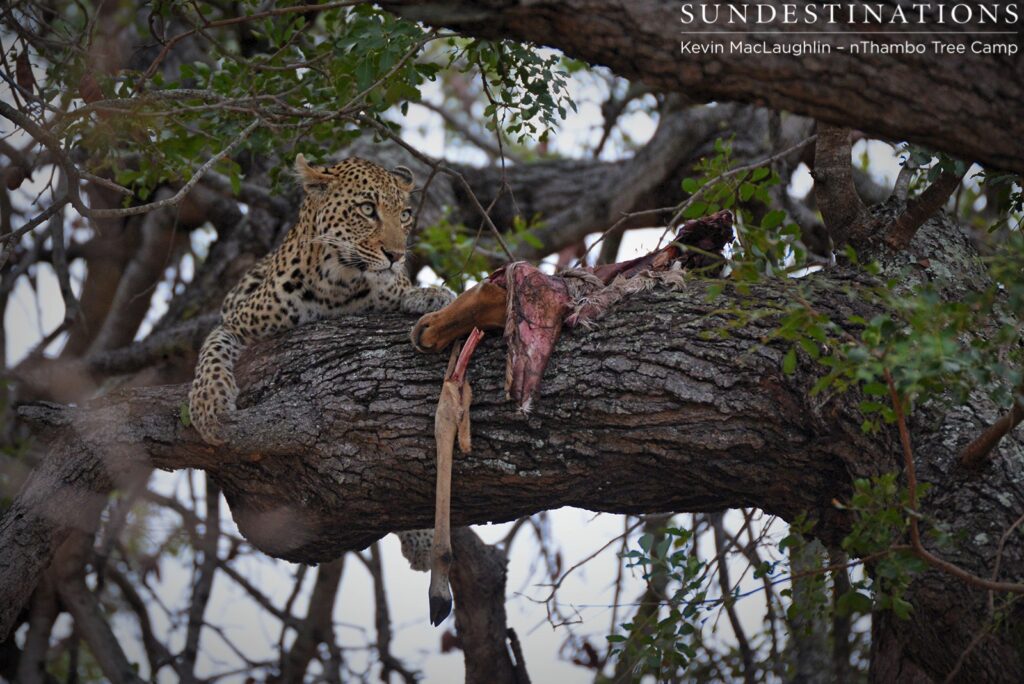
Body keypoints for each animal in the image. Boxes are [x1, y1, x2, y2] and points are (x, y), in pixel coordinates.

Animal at [188, 154, 453, 569]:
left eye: (406, 215)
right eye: (367, 209)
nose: (396, 255)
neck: (337, 286)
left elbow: (403, 293)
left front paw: (429, 295)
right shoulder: (234, 324)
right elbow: (212, 354)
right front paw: (209, 407)